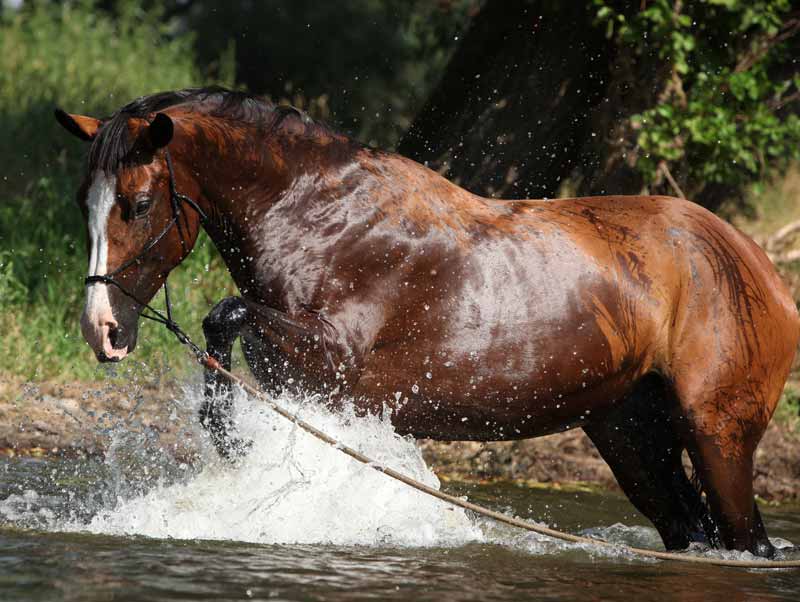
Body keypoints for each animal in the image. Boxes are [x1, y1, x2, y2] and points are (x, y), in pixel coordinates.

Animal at [53, 86, 796, 556]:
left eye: (138, 203)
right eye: (84, 199)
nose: (102, 329)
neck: (322, 222)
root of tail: (761, 269)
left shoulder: (334, 363)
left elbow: (222, 315)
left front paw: (230, 440)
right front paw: (227, 435)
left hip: (718, 437)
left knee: (747, 541)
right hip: (632, 439)